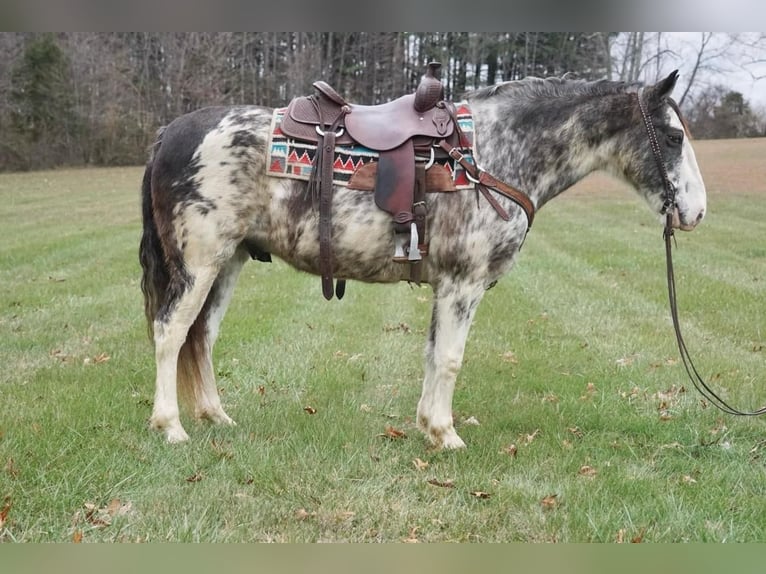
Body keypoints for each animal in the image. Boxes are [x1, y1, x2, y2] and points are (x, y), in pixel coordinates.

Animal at [140, 72, 708, 450]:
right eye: (674, 136)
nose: (697, 211)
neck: (491, 154)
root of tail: (170, 133)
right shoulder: (463, 283)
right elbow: (451, 358)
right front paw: (445, 433)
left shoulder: (447, 287)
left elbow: (435, 355)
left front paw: (427, 427)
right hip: (198, 264)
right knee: (170, 333)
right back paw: (171, 427)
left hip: (228, 263)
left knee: (200, 337)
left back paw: (215, 416)